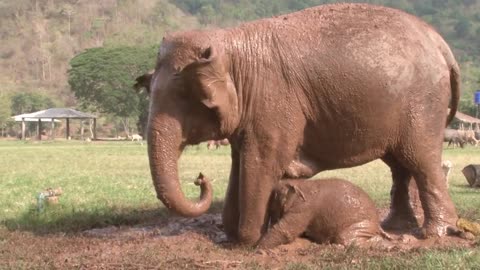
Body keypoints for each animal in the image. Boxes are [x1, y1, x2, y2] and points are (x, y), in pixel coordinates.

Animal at [256, 178, 388, 248]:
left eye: (273, 199)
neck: (299, 183)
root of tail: (378, 224)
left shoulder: (303, 209)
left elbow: (286, 231)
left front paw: (257, 249)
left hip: (361, 224)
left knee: (346, 239)